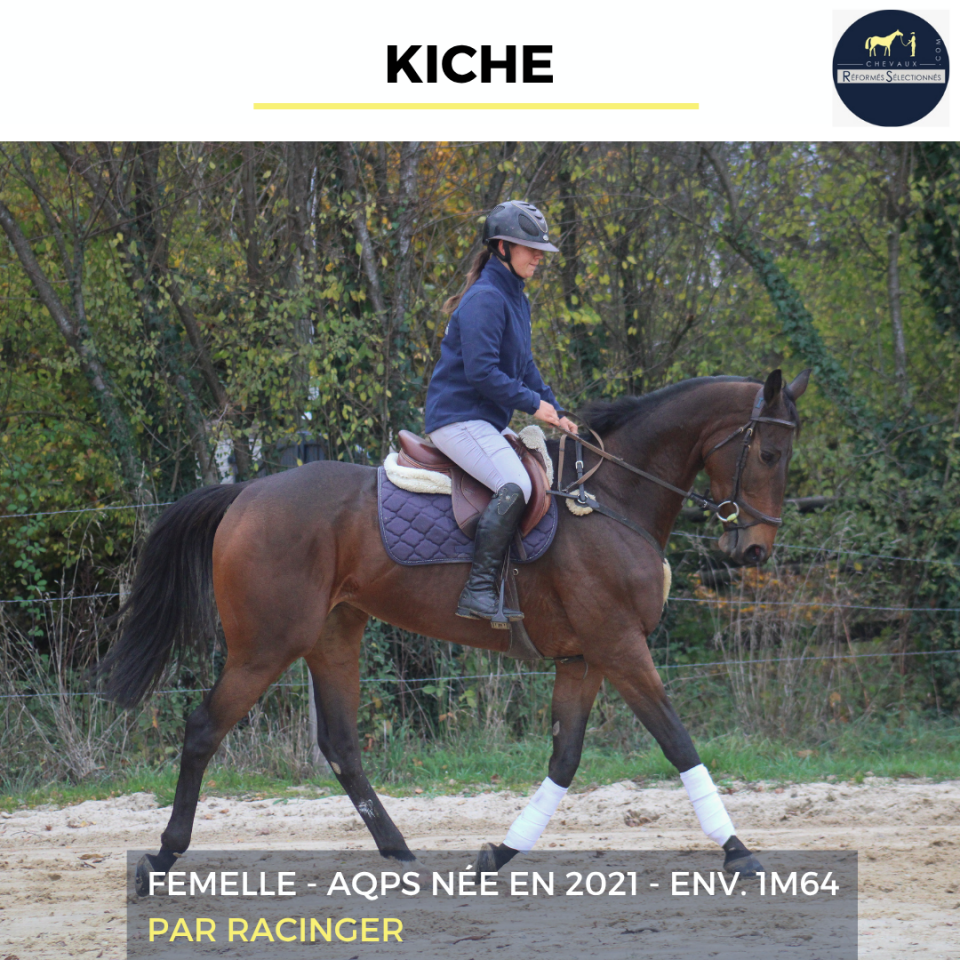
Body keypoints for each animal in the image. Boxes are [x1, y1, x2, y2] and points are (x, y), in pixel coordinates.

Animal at [102, 369, 810, 896]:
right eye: (769, 453)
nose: (755, 550)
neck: (610, 498)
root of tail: (247, 494)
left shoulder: (584, 657)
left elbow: (565, 758)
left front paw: (500, 852)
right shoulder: (619, 646)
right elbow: (677, 740)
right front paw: (738, 850)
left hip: (333, 637)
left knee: (341, 745)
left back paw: (401, 854)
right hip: (265, 646)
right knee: (204, 731)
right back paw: (162, 859)